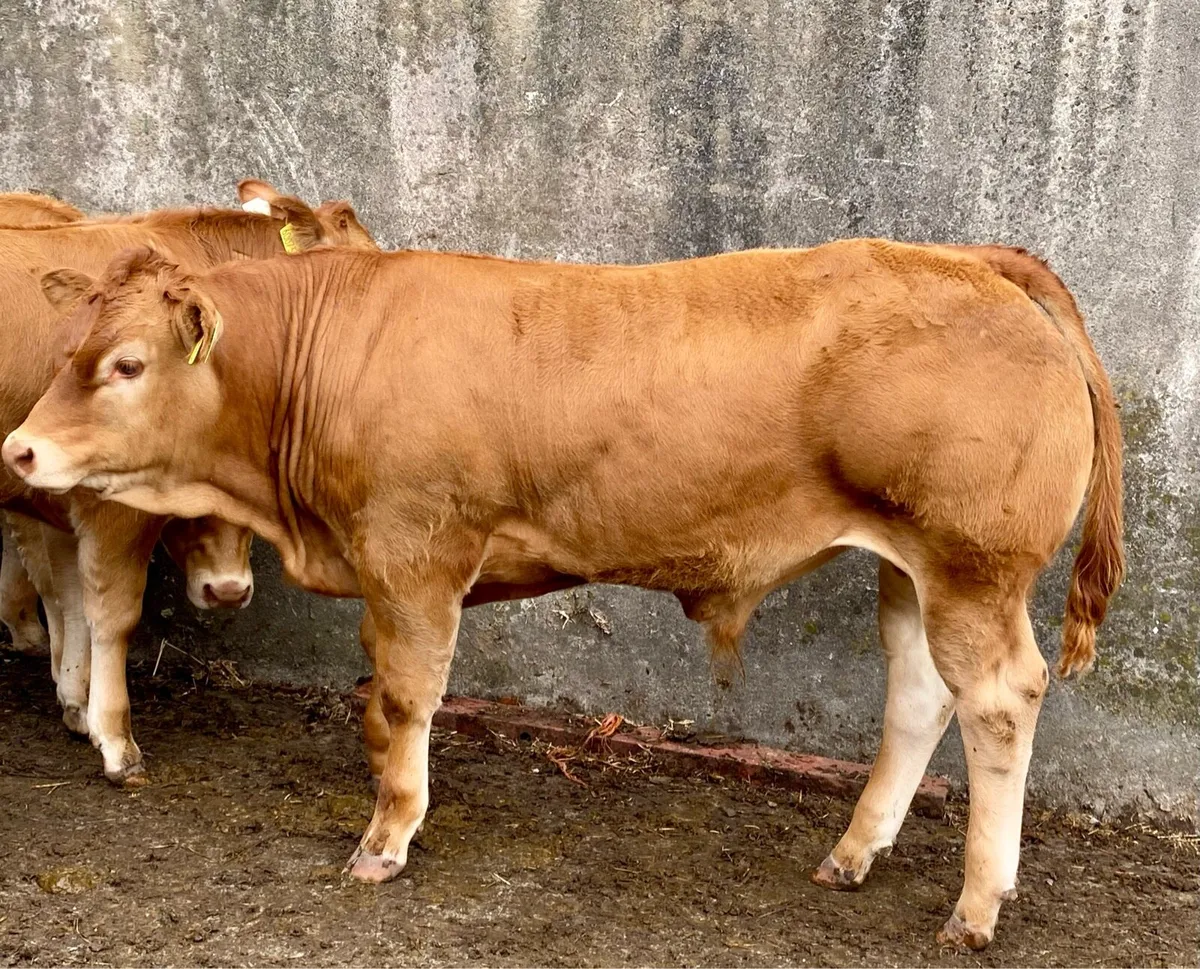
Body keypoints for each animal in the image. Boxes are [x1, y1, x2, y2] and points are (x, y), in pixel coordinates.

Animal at [0, 182, 377, 784]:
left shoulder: (59, 497)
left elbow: (70, 597)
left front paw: (76, 704)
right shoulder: (115, 505)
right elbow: (110, 613)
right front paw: (115, 739)